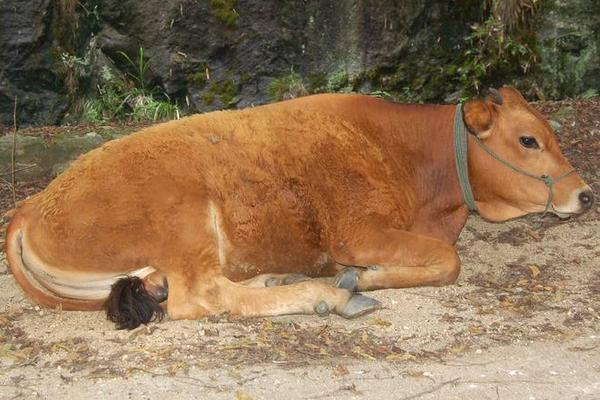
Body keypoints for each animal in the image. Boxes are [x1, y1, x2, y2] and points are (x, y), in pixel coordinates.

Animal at [3, 86, 596, 328]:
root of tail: (31, 204)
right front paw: (365, 277)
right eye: (528, 140)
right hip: (185, 222)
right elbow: (449, 261)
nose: (584, 194)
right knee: (201, 297)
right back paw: (327, 295)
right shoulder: (357, 232)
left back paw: (278, 279)